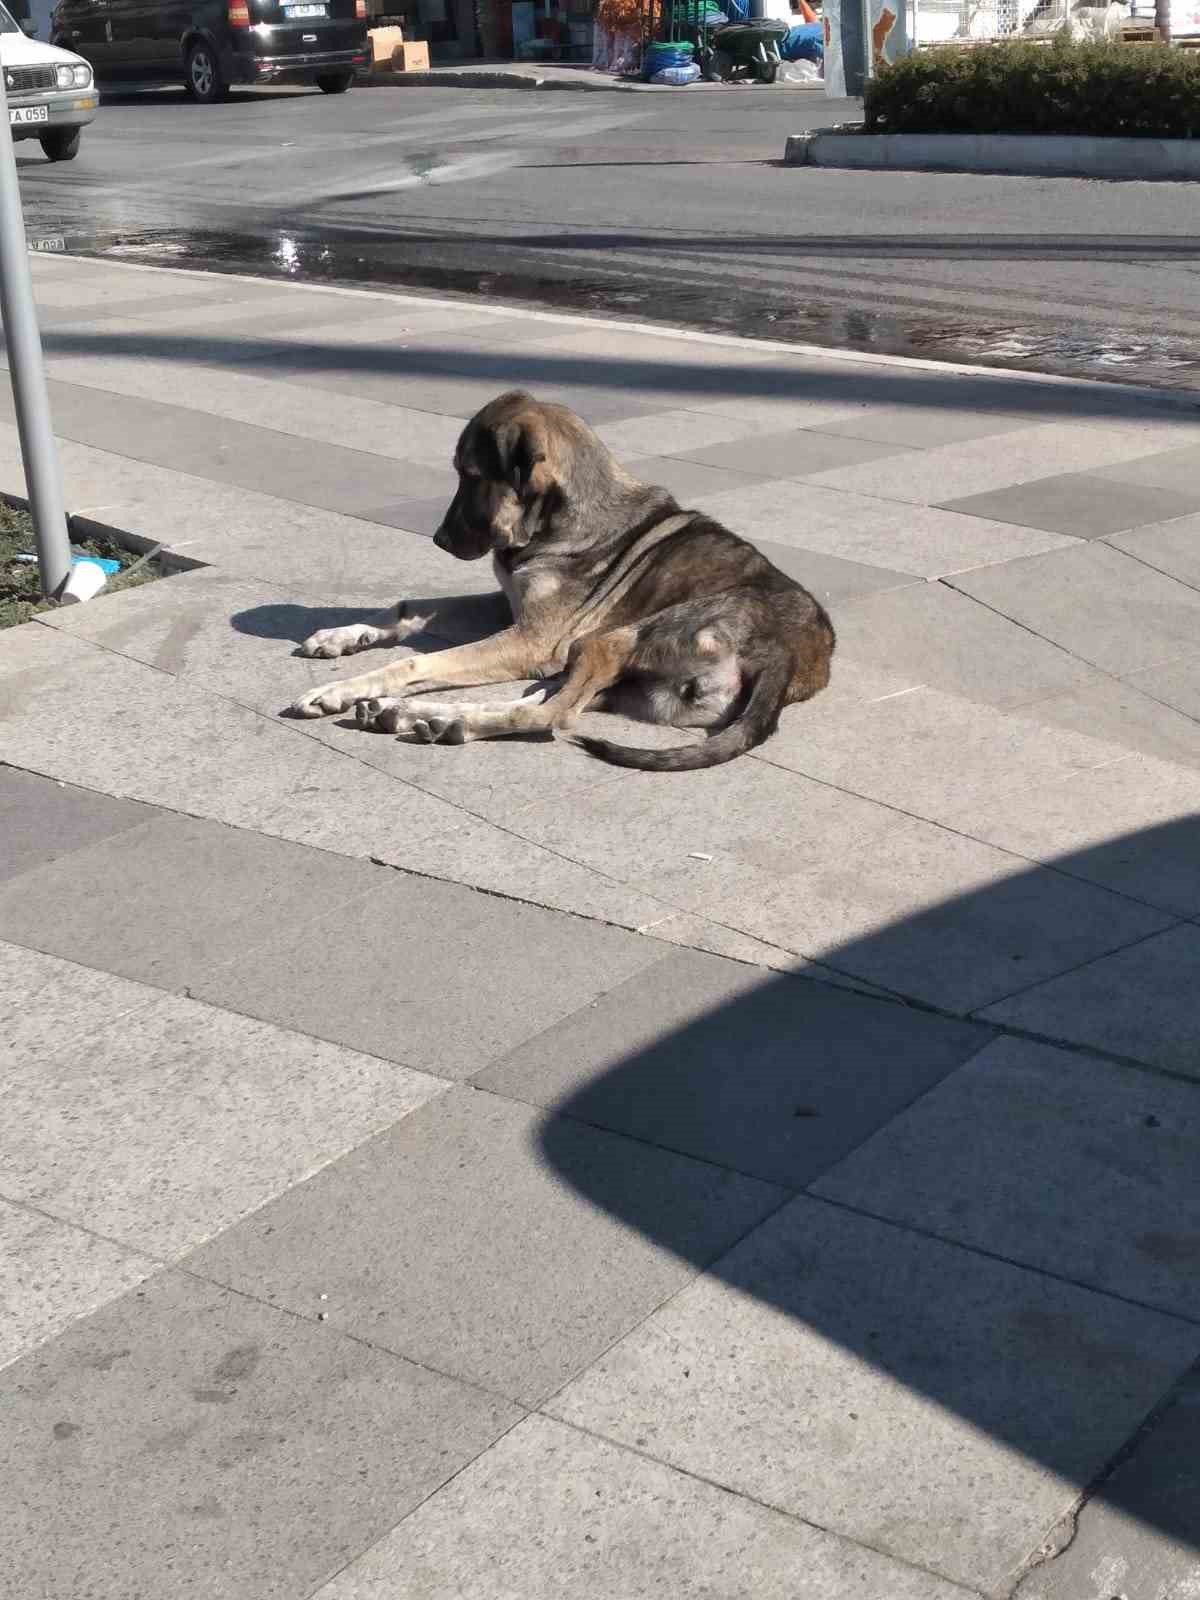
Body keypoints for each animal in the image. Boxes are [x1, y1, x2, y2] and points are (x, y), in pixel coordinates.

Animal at [289, 384, 838, 764]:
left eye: (470, 475)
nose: (439, 540)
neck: (559, 519)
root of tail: (788, 656)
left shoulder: (531, 641)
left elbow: (416, 663)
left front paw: (340, 688)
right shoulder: (508, 609)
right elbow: (409, 608)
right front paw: (343, 636)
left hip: (608, 641)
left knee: (551, 712)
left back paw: (438, 720)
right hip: (623, 681)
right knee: (544, 697)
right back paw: (421, 714)